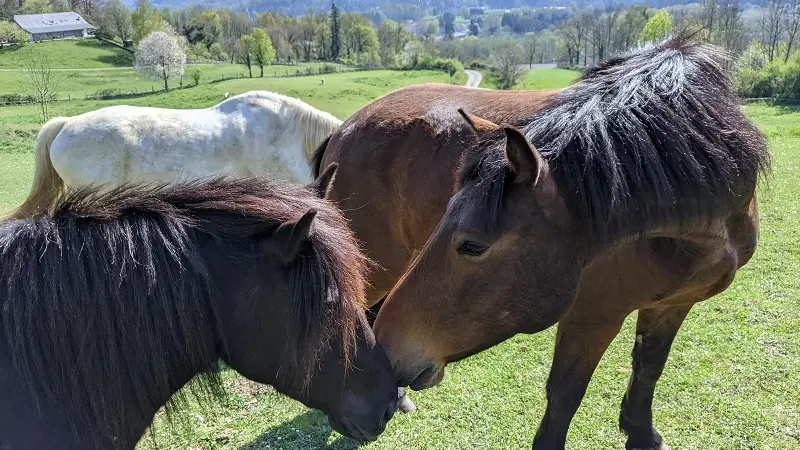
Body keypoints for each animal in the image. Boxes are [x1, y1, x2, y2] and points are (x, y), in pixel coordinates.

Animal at [310, 37, 768, 448]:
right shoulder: (591, 314)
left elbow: (648, 368)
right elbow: (565, 396)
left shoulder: (673, 304)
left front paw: (641, 434)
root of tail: (345, 128)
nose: (392, 347)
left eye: (472, 245)